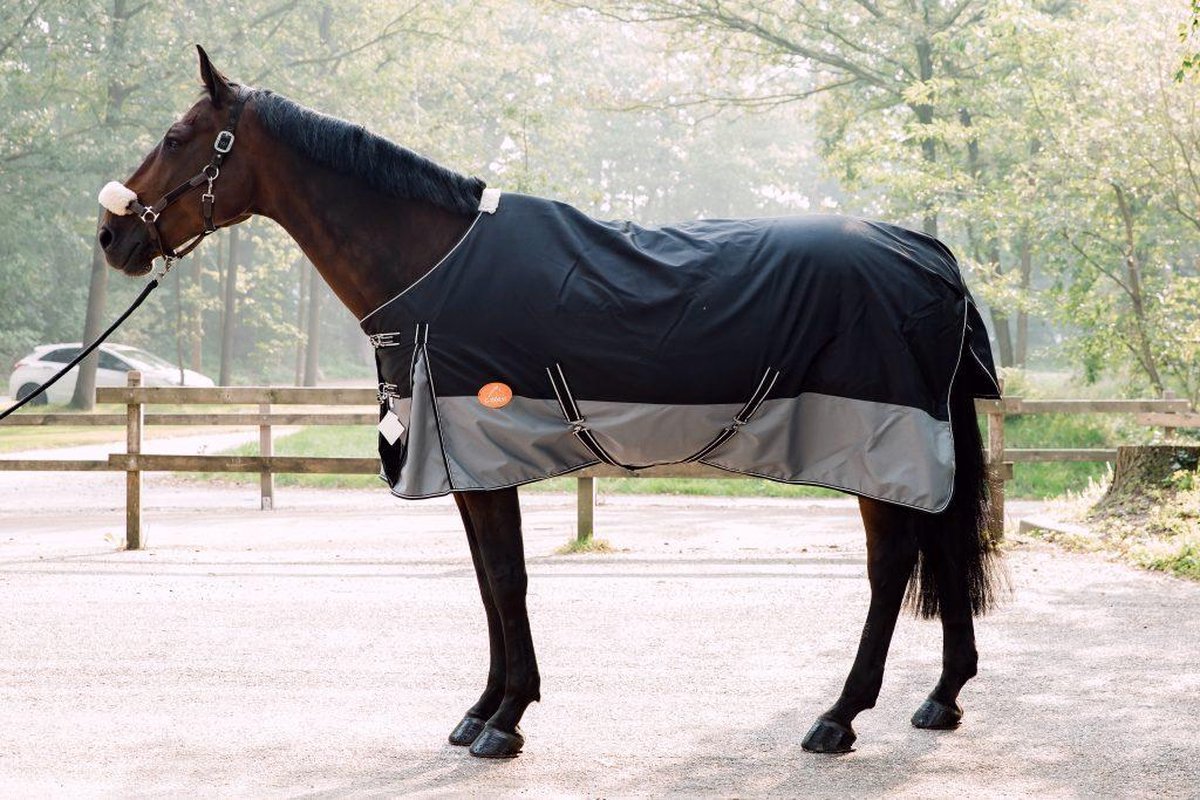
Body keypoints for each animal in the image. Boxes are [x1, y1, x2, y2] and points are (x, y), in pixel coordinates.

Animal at [97, 47, 1005, 758]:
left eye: (175, 138)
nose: (113, 238)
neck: (436, 266)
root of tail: (929, 254)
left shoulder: (483, 449)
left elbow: (506, 579)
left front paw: (506, 721)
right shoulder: (464, 461)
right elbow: (488, 581)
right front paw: (481, 711)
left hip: (881, 445)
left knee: (891, 566)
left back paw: (839, 717)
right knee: (940, 546)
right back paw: (942, 698)